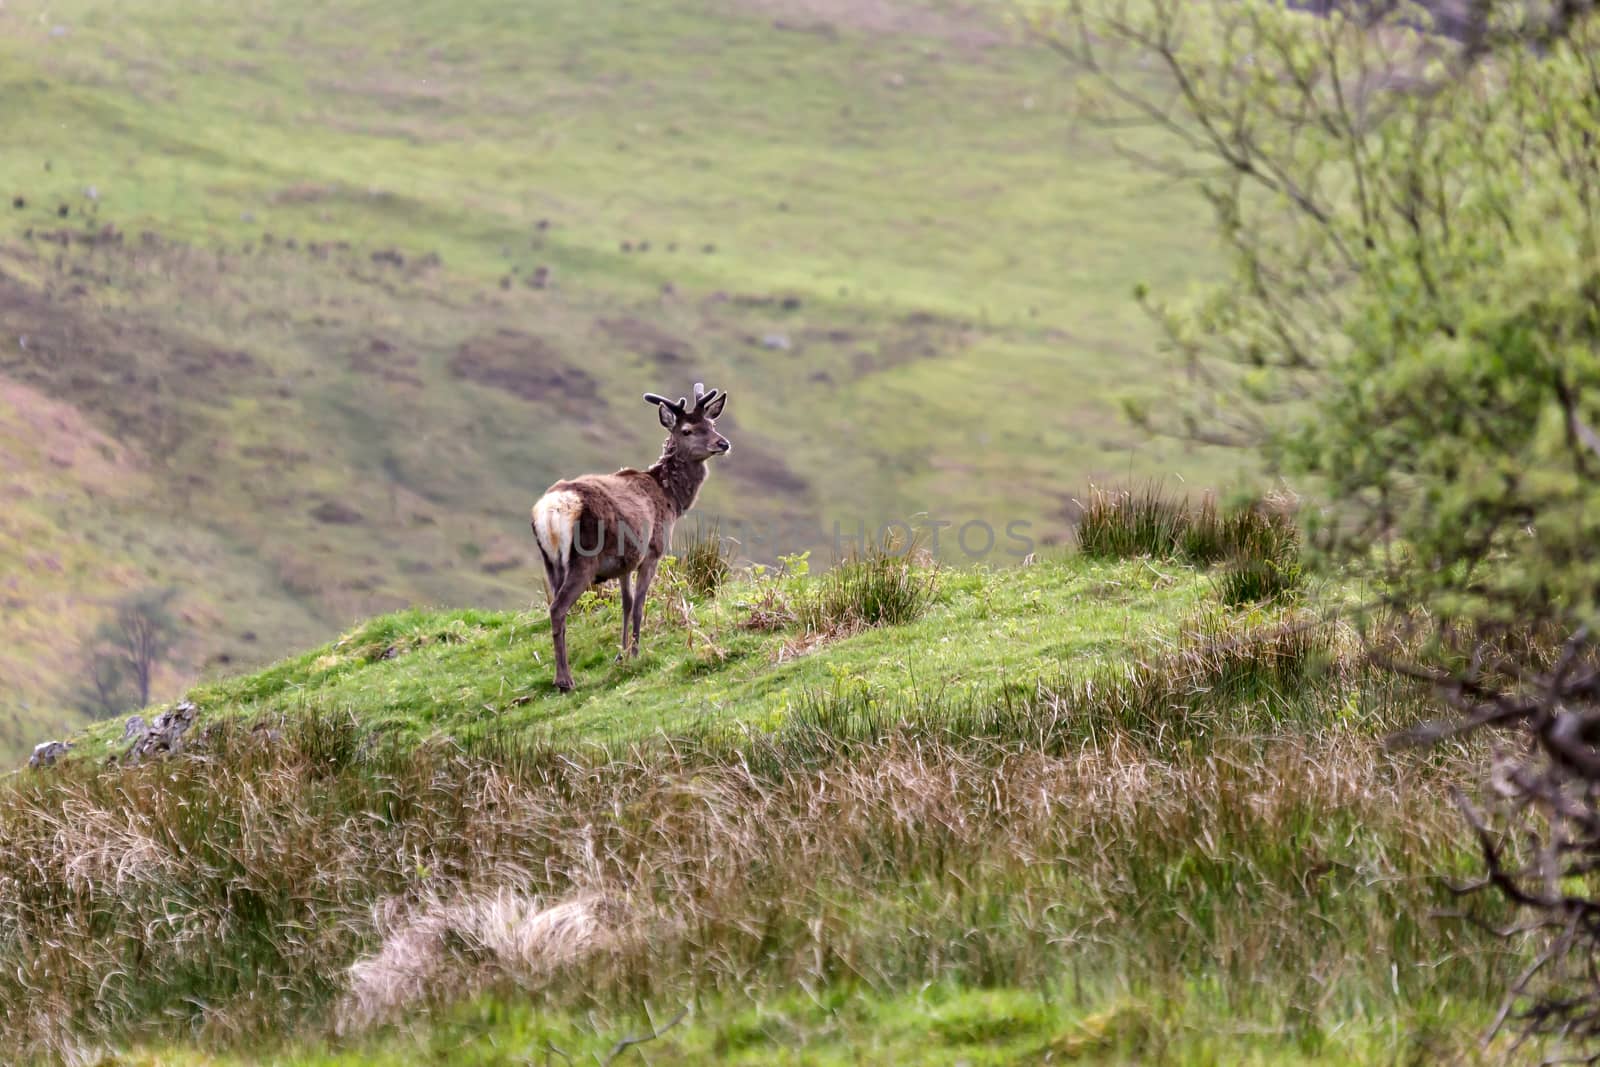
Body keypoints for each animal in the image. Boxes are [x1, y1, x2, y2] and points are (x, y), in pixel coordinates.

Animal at [528, 383, 729, 694]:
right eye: (687, 430)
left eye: (712, 424)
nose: (723, 444)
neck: (671, 500)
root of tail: (551, 510)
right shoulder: (653, 551)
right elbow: (639, 605)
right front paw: (635, 652)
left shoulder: (624, 563)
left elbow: (625, 602)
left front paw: (621, 653)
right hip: (584, 557)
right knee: (557, 608)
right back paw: (564, 680)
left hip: (550, 561)